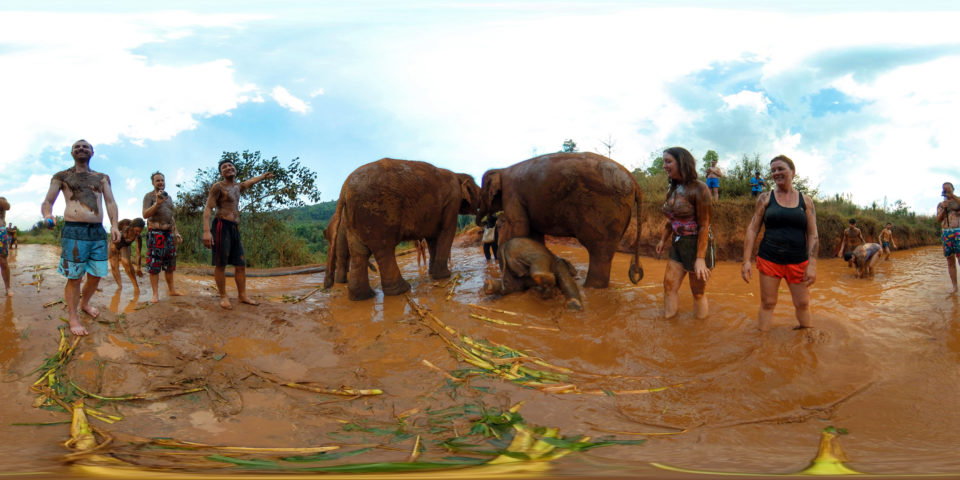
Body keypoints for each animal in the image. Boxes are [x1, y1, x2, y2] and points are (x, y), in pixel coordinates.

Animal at [325, 158, 480, 300]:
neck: (458, 174)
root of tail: (344, 188)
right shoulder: (452, 201)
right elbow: (446, 232)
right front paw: (444, 276)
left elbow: (432, 238)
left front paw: (432, 274)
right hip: (377, 214)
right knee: (384, 249)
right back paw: (401, 290)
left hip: (354, 218)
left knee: (359, 253)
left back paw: (363, 297)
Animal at [476, 152, 643, 288]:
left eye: (482, 194)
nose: (485, 222)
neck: (502, 169)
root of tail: (635, 182)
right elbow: (535, 234)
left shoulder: (512, 194)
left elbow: (519, 227)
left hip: (606, 209)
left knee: (599, 249)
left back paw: (588, 288)